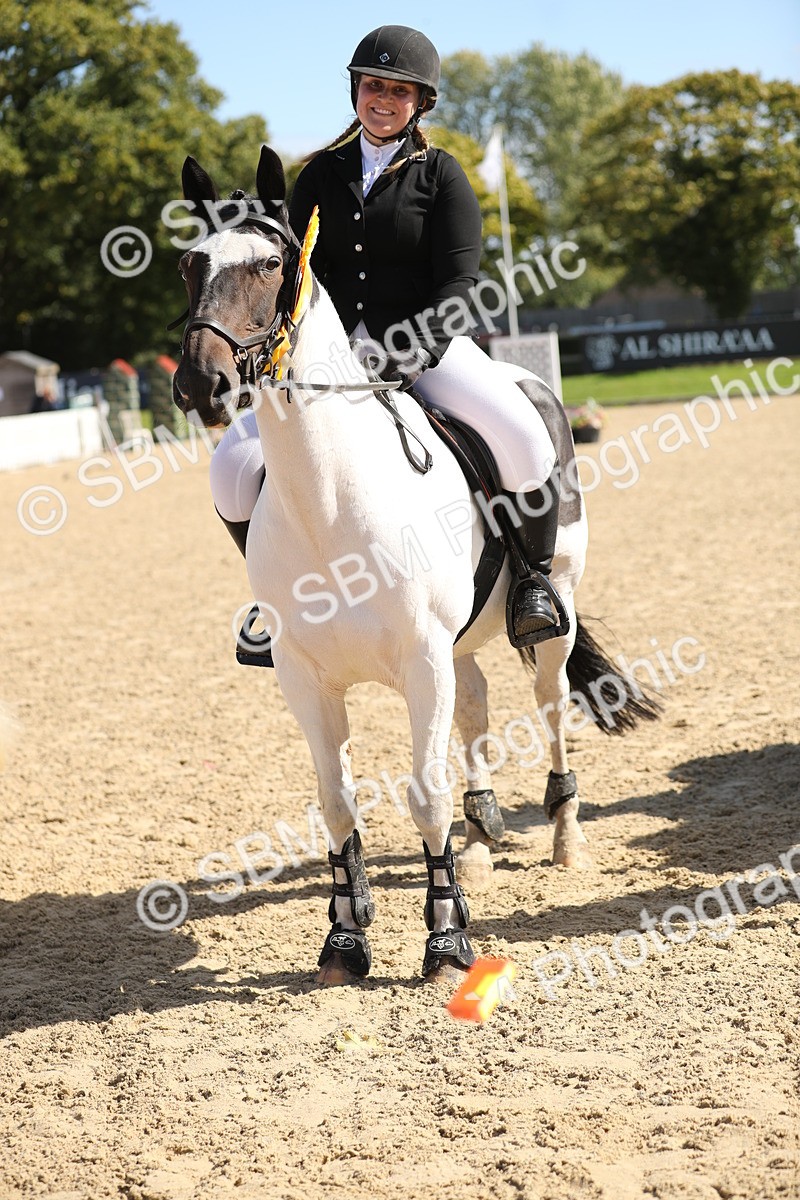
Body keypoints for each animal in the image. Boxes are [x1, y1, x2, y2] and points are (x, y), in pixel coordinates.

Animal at [172, 145, 659, 984]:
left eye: (270, 263)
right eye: (188, 265)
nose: (202, 384)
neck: (329, 498)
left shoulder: (420, 661)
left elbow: (424, 794)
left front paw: (447, 940)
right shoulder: (307, 676)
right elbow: (337, 801)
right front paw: (345, 937)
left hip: (550, 613)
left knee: (550, 705)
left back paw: (564, 836)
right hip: (456, 646)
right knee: (477, 706)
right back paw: (483, 828)